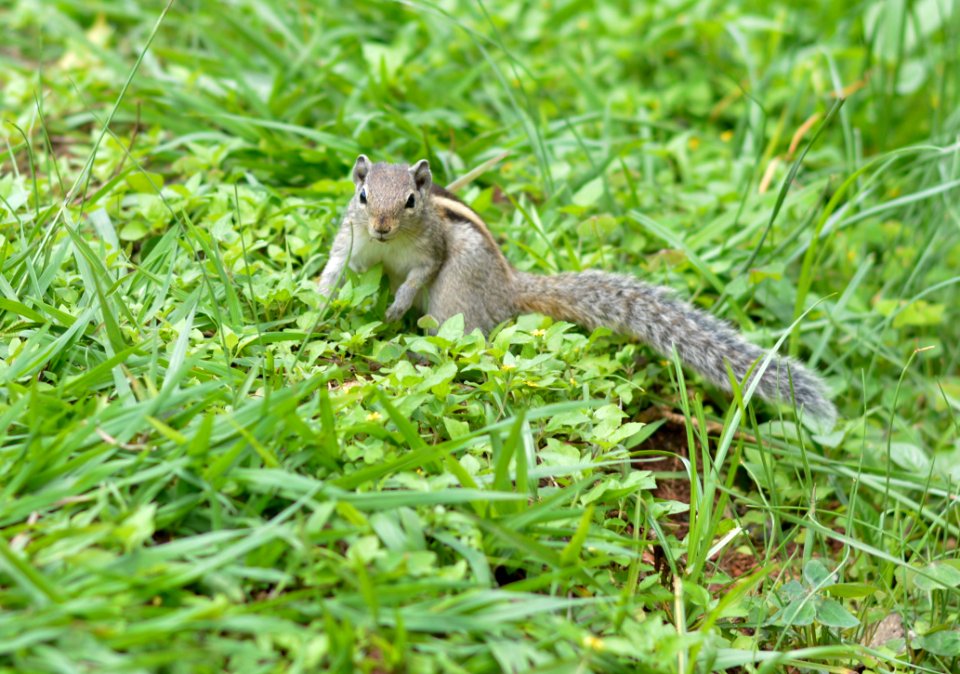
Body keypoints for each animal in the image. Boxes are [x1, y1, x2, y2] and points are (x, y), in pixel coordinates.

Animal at [318, 155, 836, 428]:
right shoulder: (353, 240)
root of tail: (509, 288)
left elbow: (418, 273)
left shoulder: (433, 249)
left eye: (410, 200)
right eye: (363, 196)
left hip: (456, 292)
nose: (382, 227)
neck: (390, 245)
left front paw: (397, 304)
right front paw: (321, 302)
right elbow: (337, 267)